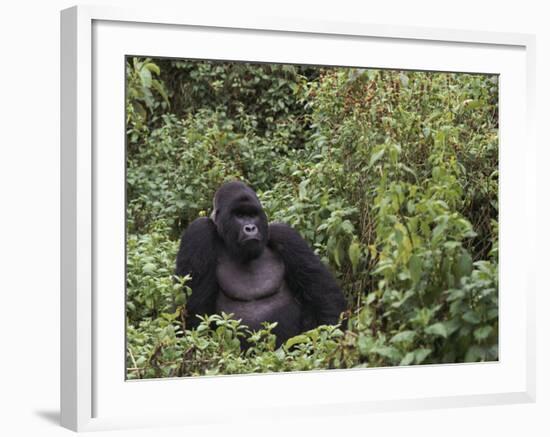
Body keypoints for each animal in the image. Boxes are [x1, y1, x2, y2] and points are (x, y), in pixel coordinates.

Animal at [177, 180, 348, 344]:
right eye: (239, 215)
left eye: (253, 215)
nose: (250, 228)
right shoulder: (198, 232)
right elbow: (194, 313)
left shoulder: (286, 235)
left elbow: (325, 296)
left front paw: (329, 341)